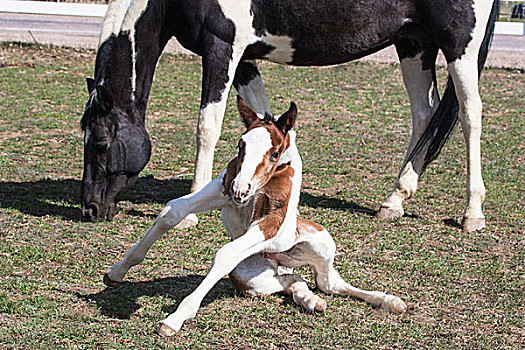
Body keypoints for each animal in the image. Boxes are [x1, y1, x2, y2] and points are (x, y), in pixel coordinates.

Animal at [80, 1, 498, 234]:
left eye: (100, 143)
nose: (90, 209)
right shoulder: (244, 58)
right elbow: (265, 120)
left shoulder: (222, 49)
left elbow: (207, 127)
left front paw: (188, 213)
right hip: (414, 43)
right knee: (424, 115)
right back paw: (395, 200)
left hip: (458, 46)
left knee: (470, 114)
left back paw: (472, 212)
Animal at [102, 98, 406, 334]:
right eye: (240, 146)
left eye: (275, 153)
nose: (242, 189)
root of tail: (279, 262)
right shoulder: (222, 189)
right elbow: (172, 210)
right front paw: (116, 272)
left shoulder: (272, 223)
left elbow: (225, 253)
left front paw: (175, 318)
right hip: (251, 277)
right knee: (293, 281)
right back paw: (311, 301)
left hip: (320, 243)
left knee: (328, 282)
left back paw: (388, 301)